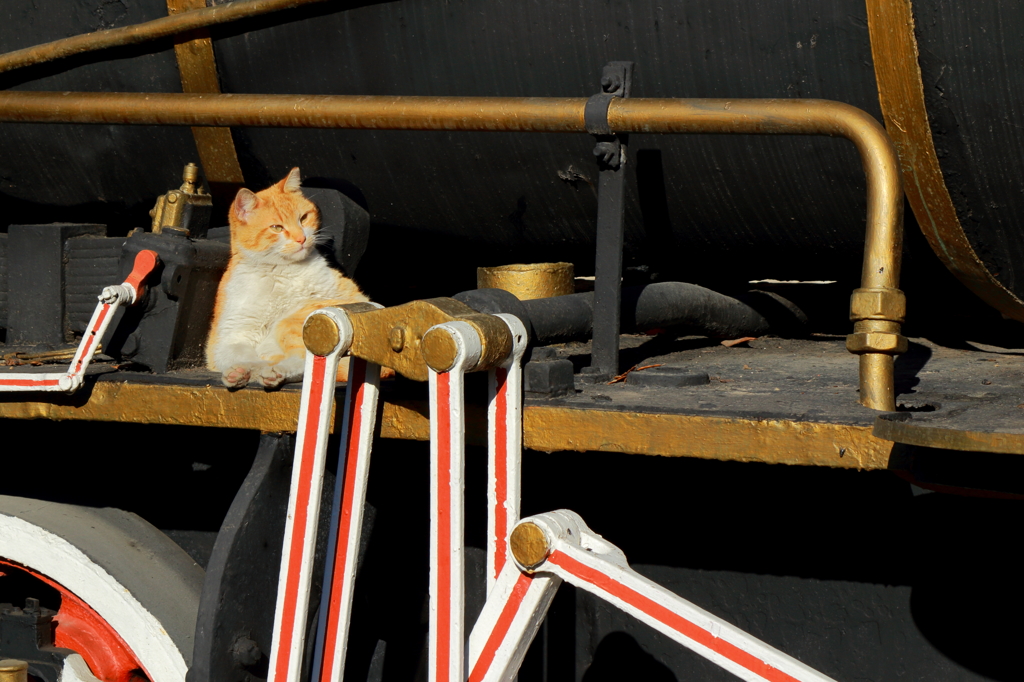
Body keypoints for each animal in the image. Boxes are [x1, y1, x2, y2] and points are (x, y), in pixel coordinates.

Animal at [205, 165, 370, 387]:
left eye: (303, 218)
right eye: (277, 228)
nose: (301, 238)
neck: (279, 273)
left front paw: (251, 371)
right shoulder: (229, 337)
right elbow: (242, 355)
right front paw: (241, 371)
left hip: (292, 322)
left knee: (304, 362)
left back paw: (275, 372)